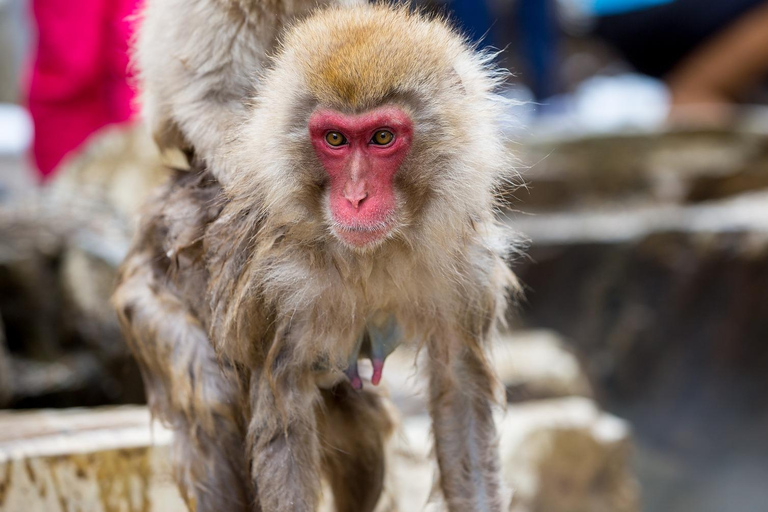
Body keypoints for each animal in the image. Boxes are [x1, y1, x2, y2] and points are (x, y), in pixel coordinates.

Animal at [114, 3, 519, 512]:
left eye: (382, 137)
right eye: (335, 139)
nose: (357, 198)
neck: (376, 252)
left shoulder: (466, 266)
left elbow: (459, 388)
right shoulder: (275, 289)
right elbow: (283, 417)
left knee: (361, 428)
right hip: (146, 300)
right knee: (211, 398)